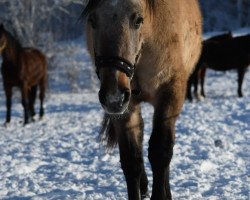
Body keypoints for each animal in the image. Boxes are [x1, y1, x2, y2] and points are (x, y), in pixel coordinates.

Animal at [81, 0, 201, 199]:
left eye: (138, 20)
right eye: (92, 20)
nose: (113, 97)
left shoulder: (170, 94)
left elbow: (161, 151)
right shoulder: (126, 108)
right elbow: (131, 160)